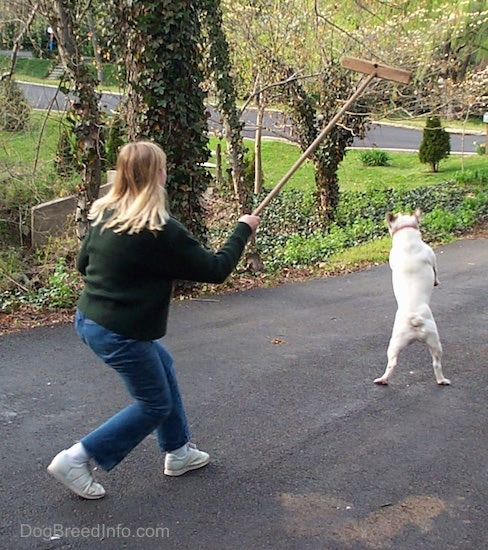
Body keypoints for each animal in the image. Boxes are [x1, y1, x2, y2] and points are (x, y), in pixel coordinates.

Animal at [376, 209, 452, 386]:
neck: (406, 236)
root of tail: (414, 318)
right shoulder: (433, 259)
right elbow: (436, 271)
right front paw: (437, 282)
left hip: (396, 343)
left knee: (392, 363)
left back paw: (382, 380)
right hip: (435, 340)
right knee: (436, 363)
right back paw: (442, 380)